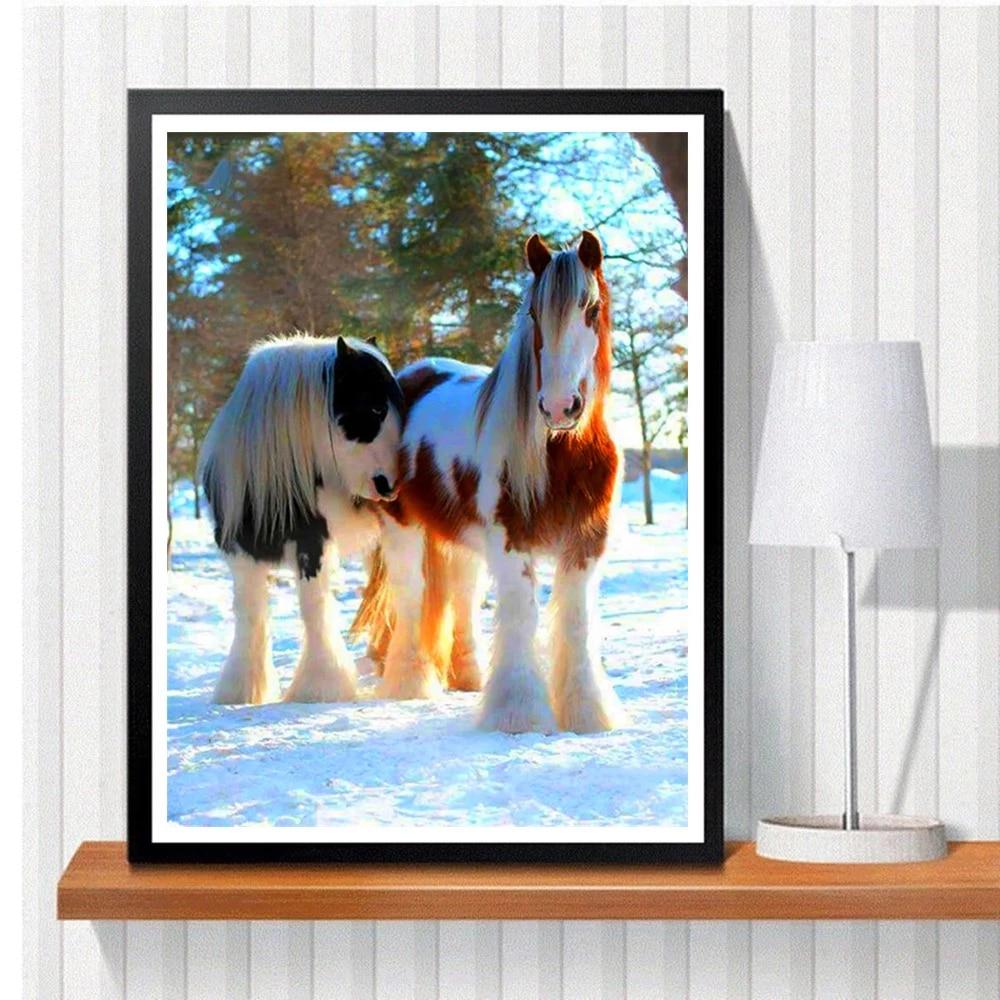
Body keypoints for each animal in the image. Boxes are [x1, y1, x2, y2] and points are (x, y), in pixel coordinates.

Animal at [199, 334, 404, 705]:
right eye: (375, 409)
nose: (392, 484)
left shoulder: (314, 544)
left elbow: (314, 605)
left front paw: (322, 686)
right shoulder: (239, 550)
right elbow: (249, 610)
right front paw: (243, 688)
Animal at [351, 231, 627, 734]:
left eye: (591, 309)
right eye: (535, 314)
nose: (560, 407)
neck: (562, 455)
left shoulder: (585, 545)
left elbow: (576, 622)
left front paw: (586, 713)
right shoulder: (510, 541)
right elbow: (521, 616)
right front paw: (519, 715)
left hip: (462, 542)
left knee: (461, 595)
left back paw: (468, 678)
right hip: (403, 530)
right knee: (410, 596)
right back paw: (410, 682)